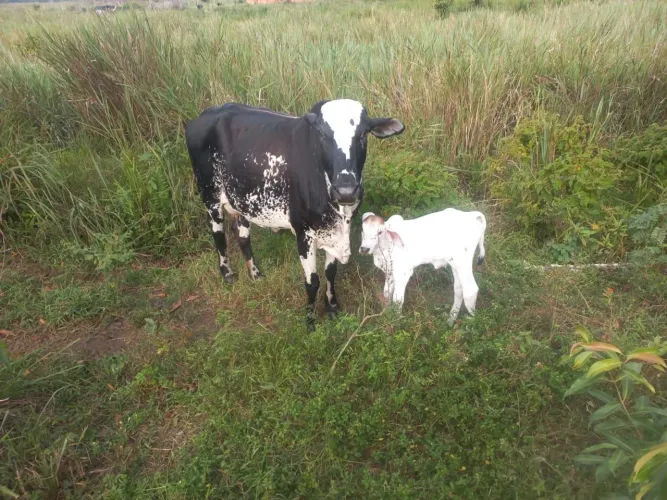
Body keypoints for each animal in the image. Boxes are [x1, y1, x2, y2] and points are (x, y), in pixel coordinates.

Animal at [184, 99, 404, 330]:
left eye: (363, 134)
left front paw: (332, 306)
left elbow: (330, 272)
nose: (346, 191)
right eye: (323, 134)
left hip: (242, 201)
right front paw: (310, 319)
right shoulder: (303, 233)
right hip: (210, 196)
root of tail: (205, 114)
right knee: (219, 237)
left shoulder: (334, 231)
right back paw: (227, 273)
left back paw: (255, 274)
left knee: (243, 238)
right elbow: (312, 281)